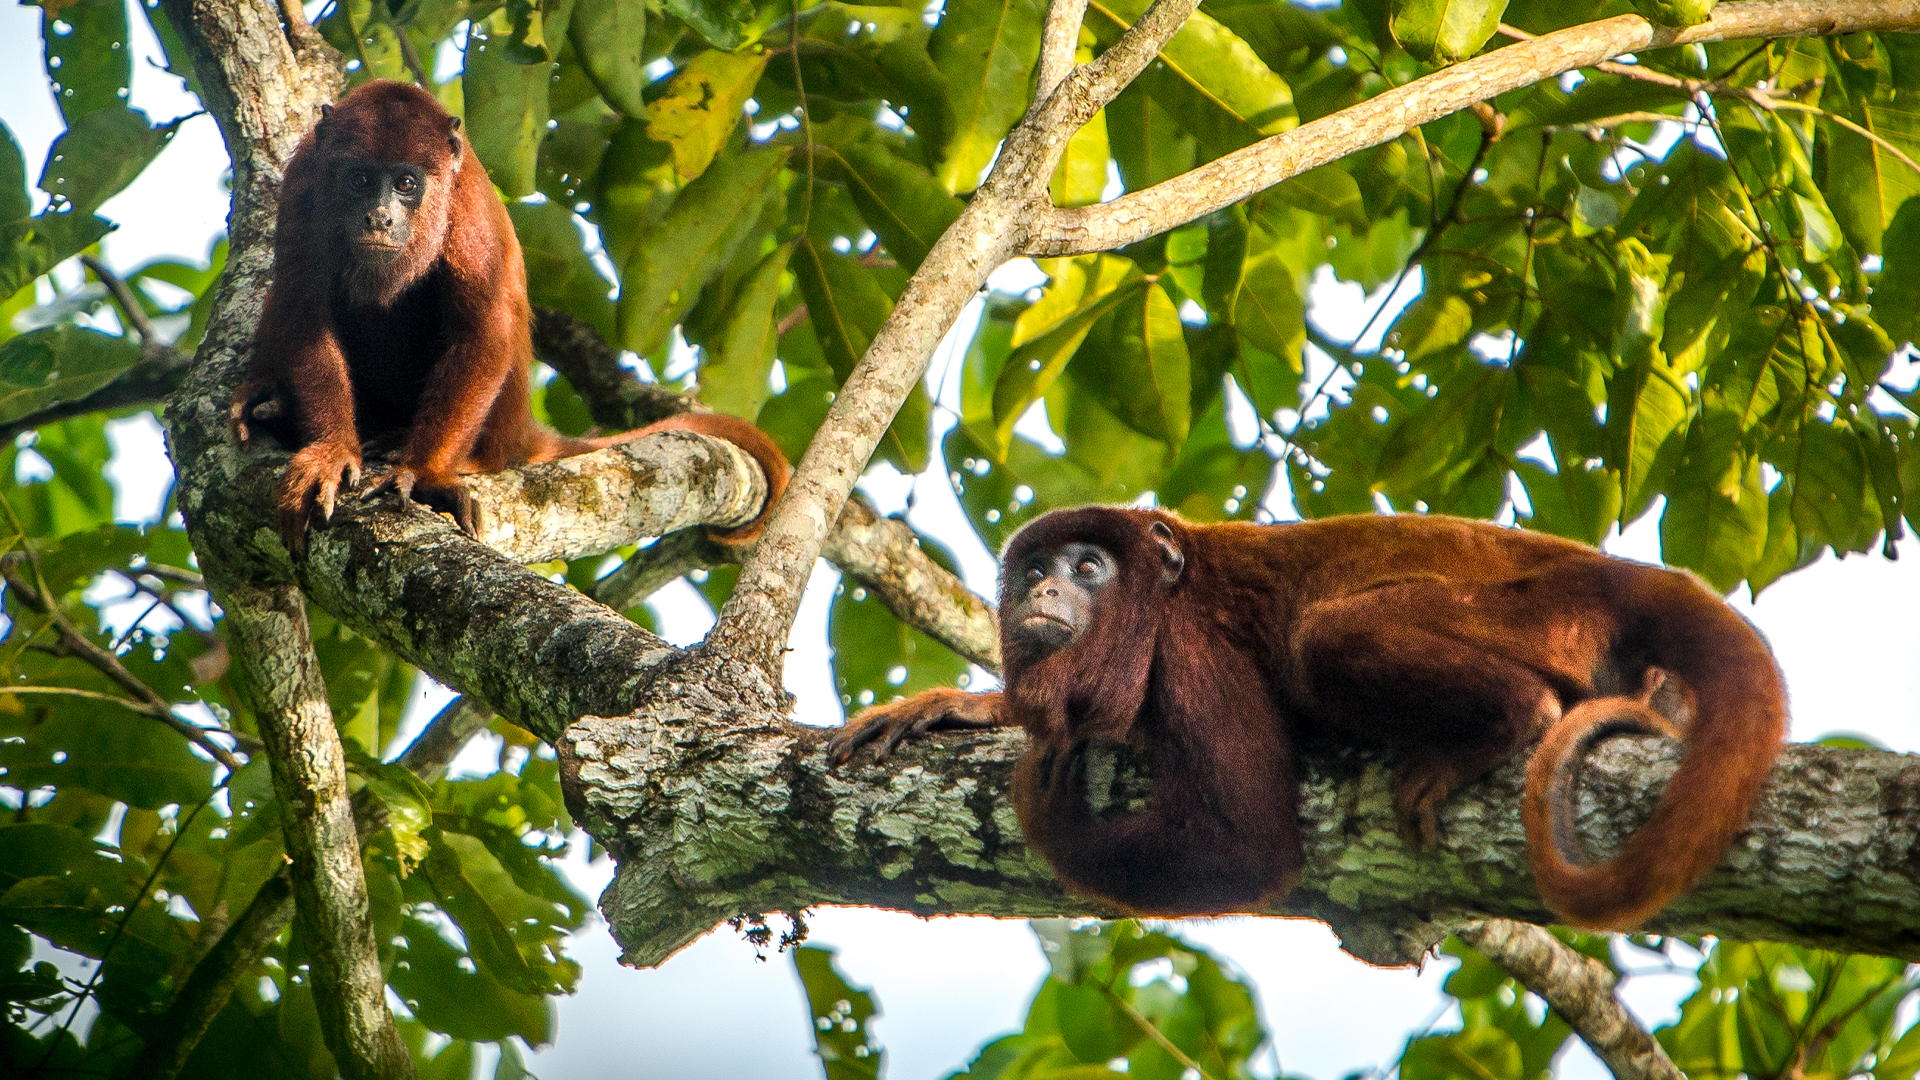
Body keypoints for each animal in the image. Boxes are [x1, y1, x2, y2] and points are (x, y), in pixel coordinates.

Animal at [233, 80, 788, 555]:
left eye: (407, 182)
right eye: (360, 179)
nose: (380, 218)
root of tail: (522, 430)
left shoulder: (467, 203)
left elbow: (484, 332)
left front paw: (425, 475)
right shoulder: (303, 182)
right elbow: (302, 308)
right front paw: (330, 450)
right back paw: (273, 403)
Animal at [826, 506, 1786, 930]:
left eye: (1088, 567)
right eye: (1034, 571)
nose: (1043, 592)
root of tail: (1614, 574)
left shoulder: (1193, 653)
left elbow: (1246, 846)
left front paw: (1046, 808)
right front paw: (953, 708)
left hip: (1541, 614)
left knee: (1322, 639)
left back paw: (1505, 723)